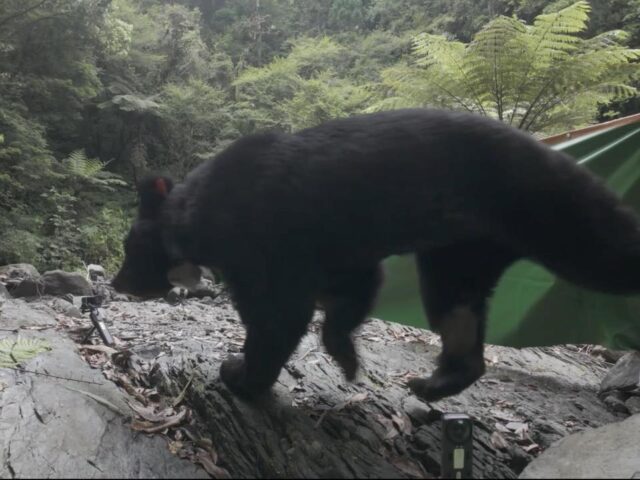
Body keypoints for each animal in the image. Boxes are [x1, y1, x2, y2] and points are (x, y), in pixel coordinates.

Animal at [112, 108, 640, 402]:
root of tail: (553, 149)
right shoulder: (336, 248)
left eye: (129, 249)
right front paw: (347, 358)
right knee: (458, 311)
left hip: (543, 206)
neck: (196, 217)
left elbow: (278, 315)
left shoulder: (261, 242)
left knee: (608, 248)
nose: (117, 283)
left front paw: (240, 374)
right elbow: (353, 289)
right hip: (459, 250)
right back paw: (432, 383)